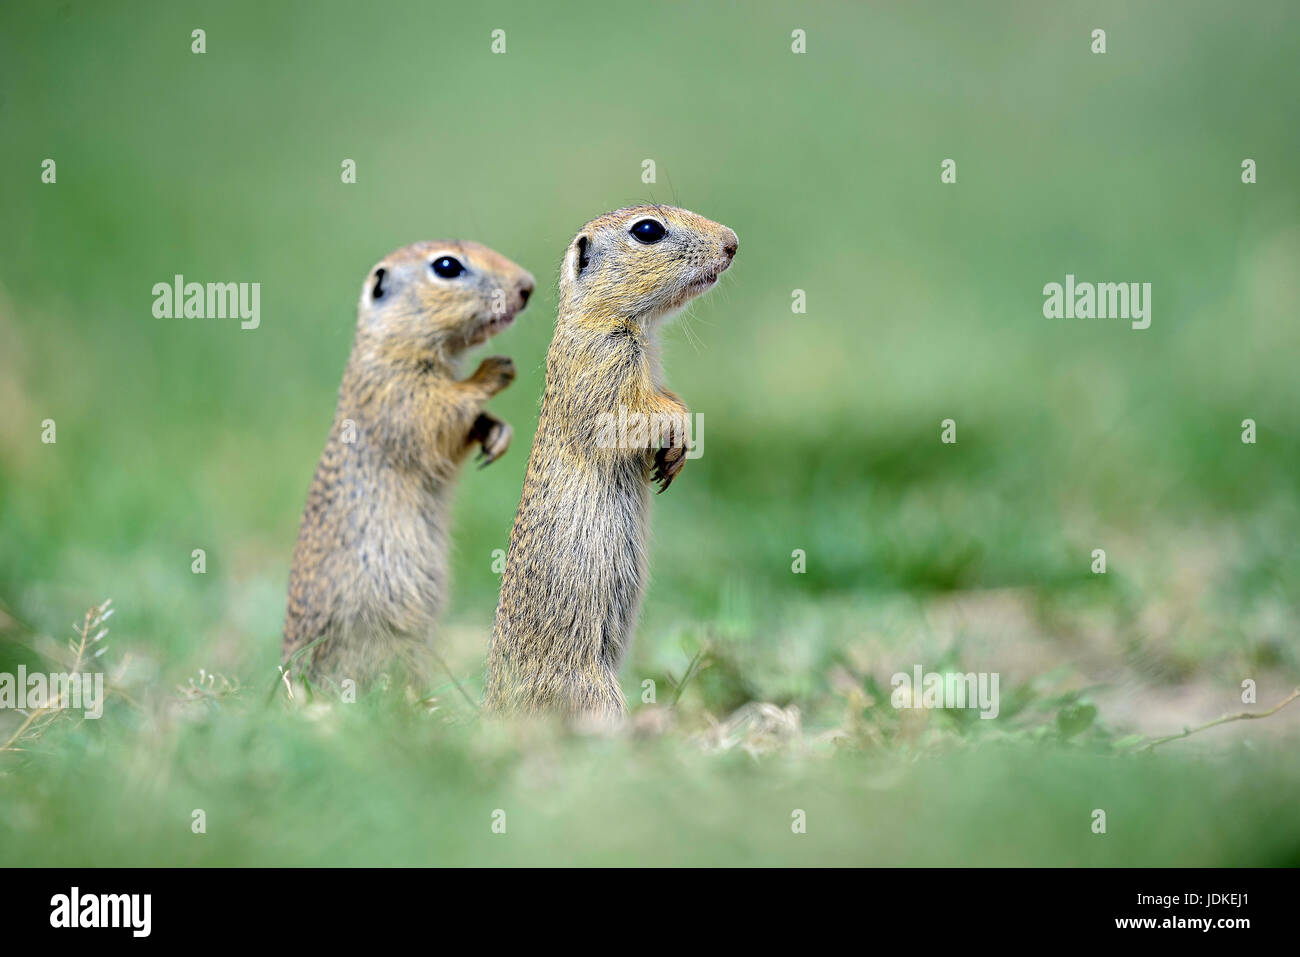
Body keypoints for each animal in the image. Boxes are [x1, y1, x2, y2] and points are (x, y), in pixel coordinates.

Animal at [283, 239, 533, 686]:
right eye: (447, 266)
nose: (527, 286)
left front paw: (496, 434)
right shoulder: (397, 390)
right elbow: (438, 412)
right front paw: (495, 370)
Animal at [483, 205, 738, 722]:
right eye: (648, 230)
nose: (733, 243)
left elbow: (667, 398)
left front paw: (674, 460)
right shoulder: (603, 366)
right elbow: (633, 414)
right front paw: (680, 430)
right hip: (592, 688)